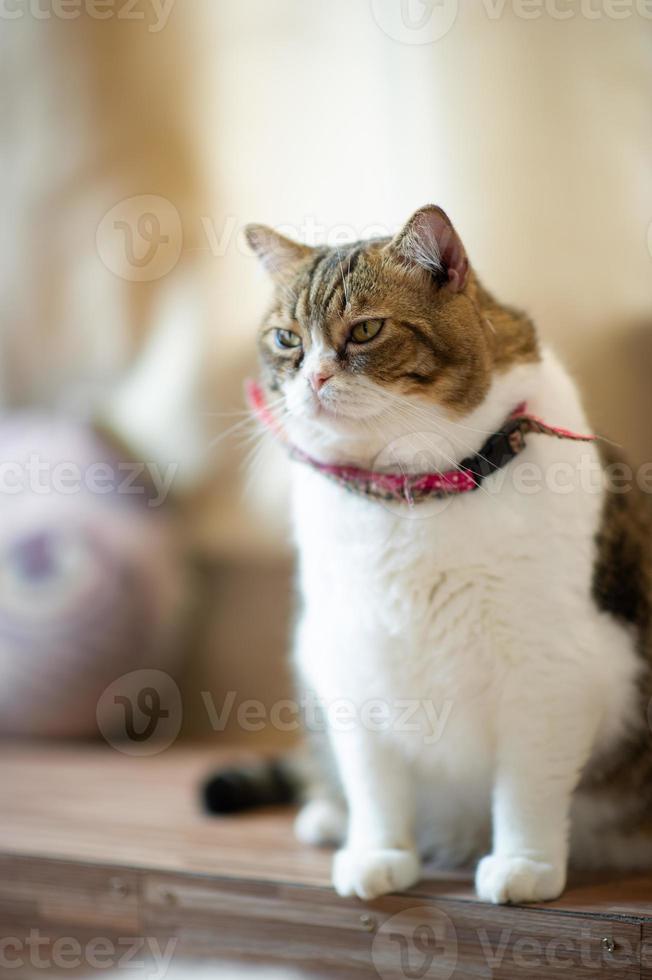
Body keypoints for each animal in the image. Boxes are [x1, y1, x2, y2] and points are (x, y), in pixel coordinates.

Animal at [204, 207, 652, 904]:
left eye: (366, 329)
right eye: (285, 339)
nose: (313, 380)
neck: (411, 496)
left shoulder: (551, 671)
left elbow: (527, 787)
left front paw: (523, 866)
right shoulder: (350, 661)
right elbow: (374, 781)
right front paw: (378, 853)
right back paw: (327, 816)